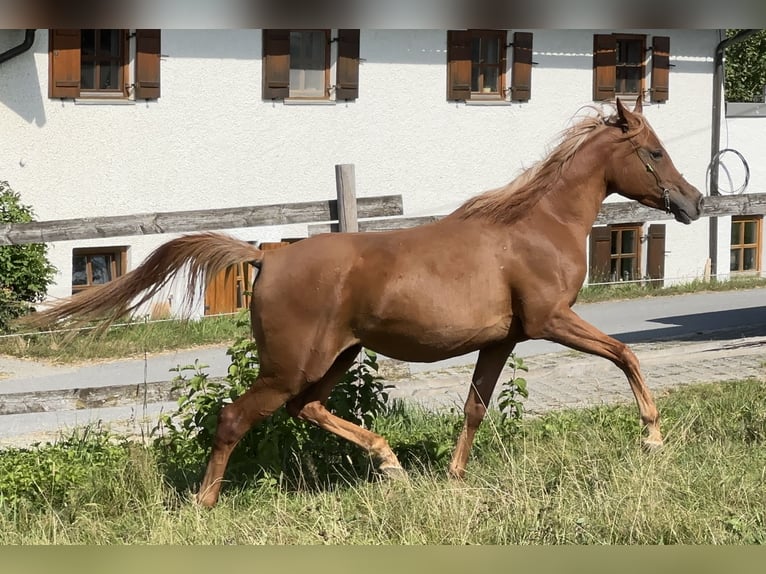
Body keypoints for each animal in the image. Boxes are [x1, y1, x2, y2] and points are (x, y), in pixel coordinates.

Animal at [24, 97, 704, 507]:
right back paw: (205, 502)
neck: (536, 227)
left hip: (336, 358)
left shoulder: (503, 339)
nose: (693, 203)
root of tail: (267, 255)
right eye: (655, 152)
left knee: (305, 408)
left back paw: (390, 463)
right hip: (291, 364)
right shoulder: (550, 320)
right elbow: (624, 354)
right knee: (236, 417)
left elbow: (475, 409)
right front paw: (652, 437)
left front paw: (454, 477)